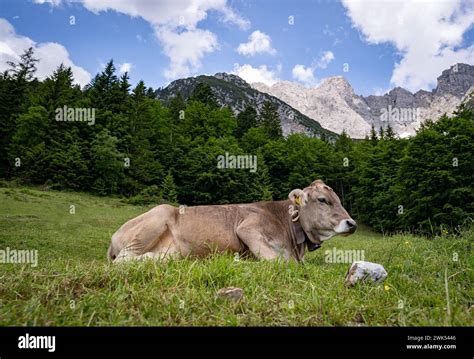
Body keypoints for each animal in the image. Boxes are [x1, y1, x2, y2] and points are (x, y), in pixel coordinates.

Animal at [109, 181, 356, 262]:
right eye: (323, 200)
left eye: (339, 199)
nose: (352, 223)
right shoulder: (247, 227)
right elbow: (278, 262)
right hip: (158, 215)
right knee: (122, 260)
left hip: (173, 250)